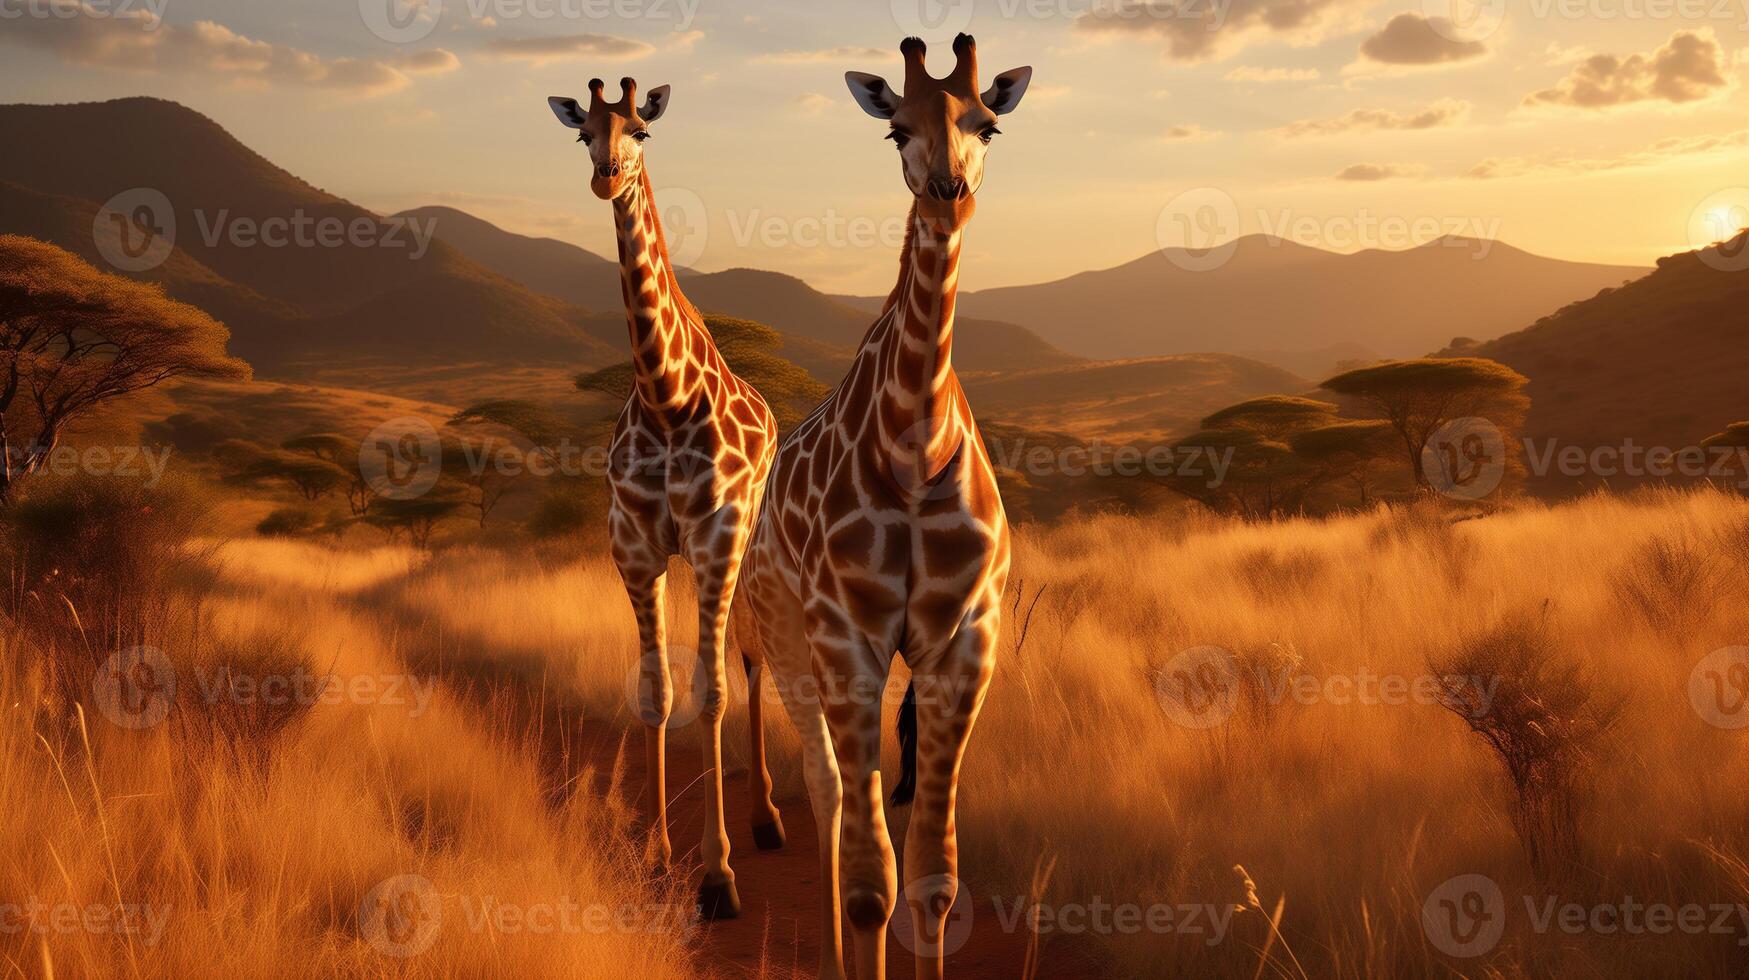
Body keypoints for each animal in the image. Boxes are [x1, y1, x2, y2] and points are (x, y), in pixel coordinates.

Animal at [545, 74, 787, 917]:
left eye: (641, 131)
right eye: (581, 131)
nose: (604, 175)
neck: (664, 395)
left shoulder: (714, 539)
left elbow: (710, 691)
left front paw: (716, 878)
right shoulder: (635, 548)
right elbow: (655, 691)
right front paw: (654, 853)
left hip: (745, 549)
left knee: (749, 655)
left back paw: (766, 819)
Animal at [731, 34, 1028, 980]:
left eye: (988, 123)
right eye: (895, 126)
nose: (947, 193)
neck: (916, 443)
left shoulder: (964, 642)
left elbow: (932, 879)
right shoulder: (847, 639)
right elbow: (873, 883)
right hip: (786, 639)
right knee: (825, 790)